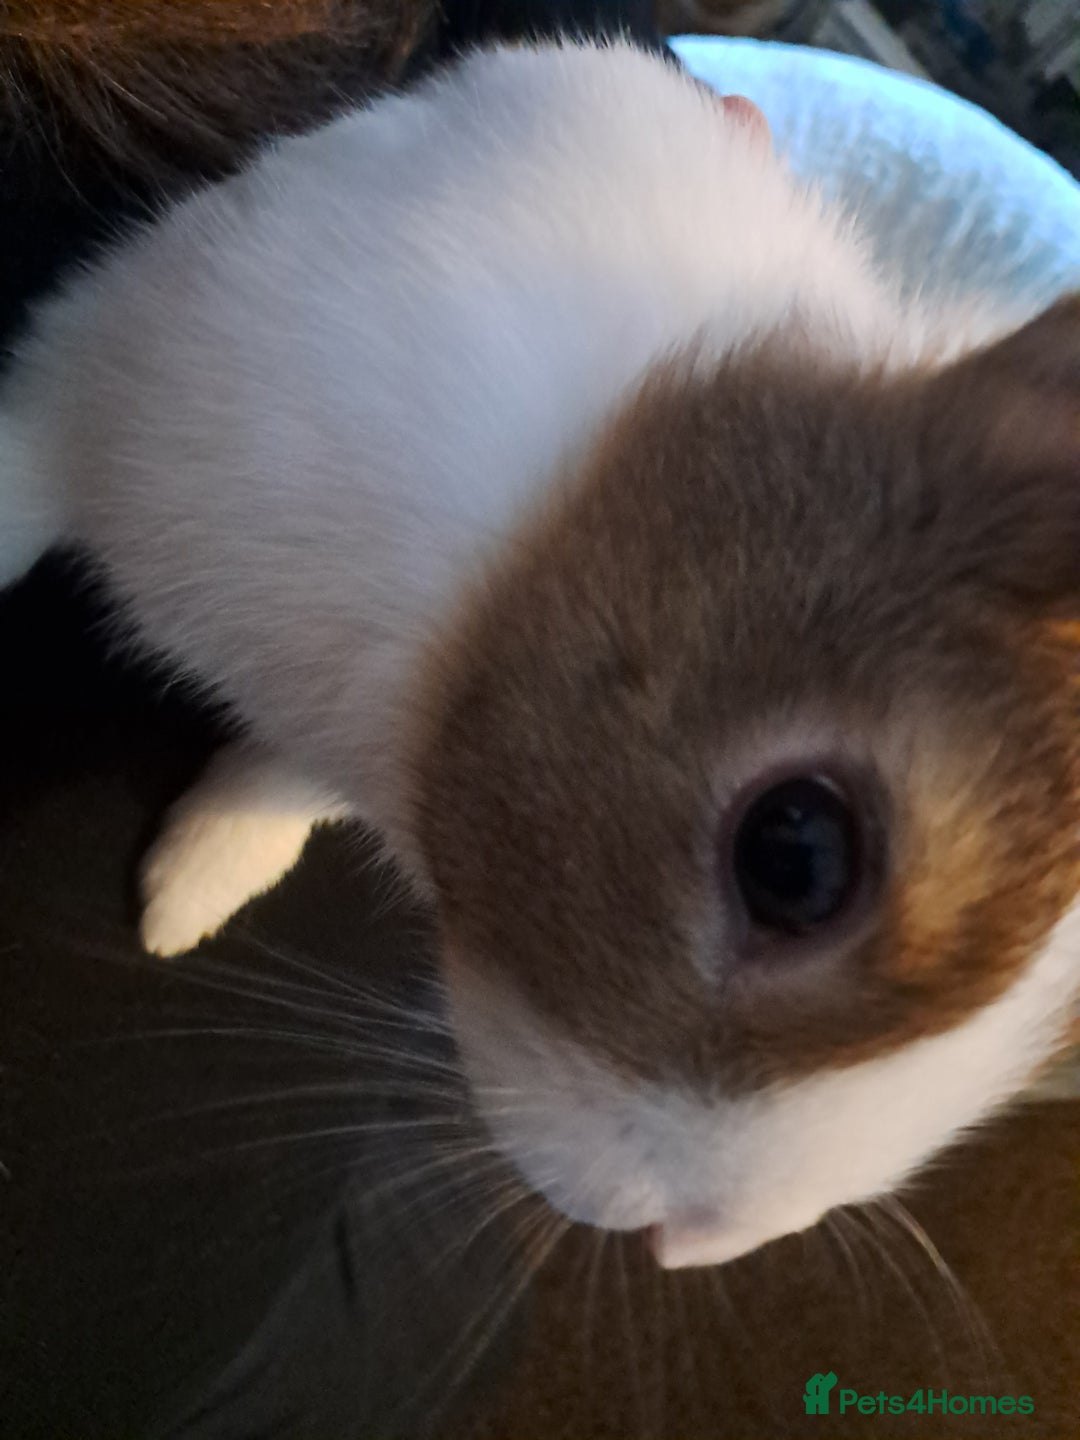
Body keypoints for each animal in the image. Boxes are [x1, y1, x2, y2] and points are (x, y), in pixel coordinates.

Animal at [2, 39, 1079, 1270]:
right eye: (795, 853)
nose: (695, 1242)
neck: (506, 564)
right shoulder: (114, 358)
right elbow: (20, 470)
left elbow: (279, 786)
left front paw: (195, 884)